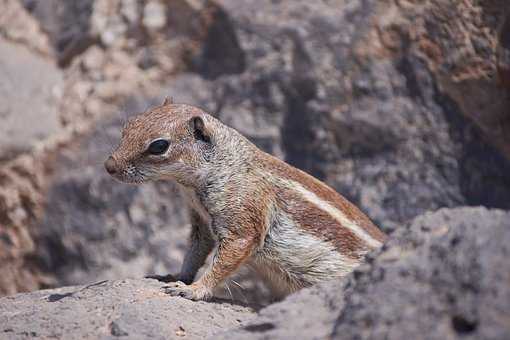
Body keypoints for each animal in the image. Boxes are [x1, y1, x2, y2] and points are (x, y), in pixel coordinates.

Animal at [104, 101, 386, 300]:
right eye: (128, 125)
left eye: (159, 146)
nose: (109, 166)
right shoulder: (200, 222)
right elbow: (195, 251)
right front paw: (176, 276)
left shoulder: (242, 213)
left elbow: (228, 257)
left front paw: (194, 289)